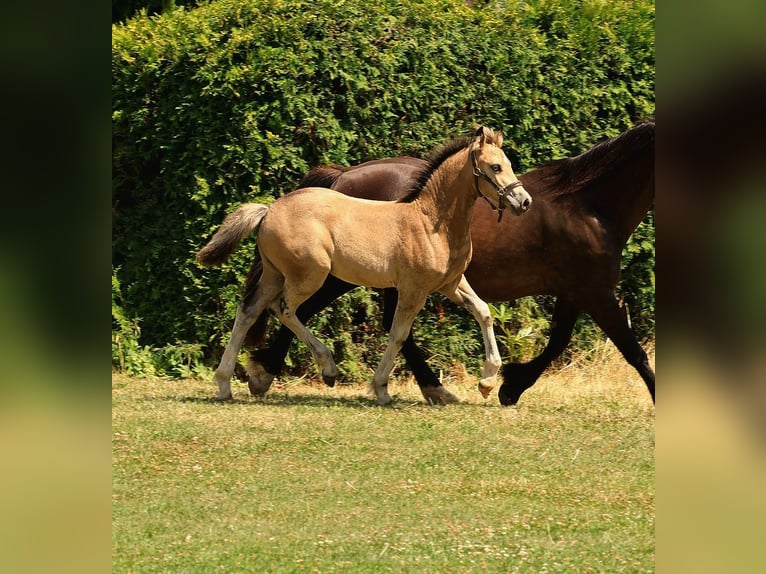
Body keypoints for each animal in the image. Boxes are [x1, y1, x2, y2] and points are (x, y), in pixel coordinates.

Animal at [197, 127, 532, 404]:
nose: (524, 201)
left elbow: (484, 312)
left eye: (508, 163)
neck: (430, 222)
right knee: (284, 309)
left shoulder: (451, 283)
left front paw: (487, 382)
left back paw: (225, 384)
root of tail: (268, 210)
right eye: (495, 167)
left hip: (275, 274)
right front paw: (381, 389)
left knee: (248, 311)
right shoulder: (413, 289)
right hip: (311, 275)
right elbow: (398, 334)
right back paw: (328, 368)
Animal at [242, 121, 655, 405]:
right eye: (496, 167)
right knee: (297, 308)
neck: (588, 206)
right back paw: (269, 372)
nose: (523, 203)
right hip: (337, 275)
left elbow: (557, 343)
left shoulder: (574, 293)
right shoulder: (593, 291)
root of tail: (341, 177)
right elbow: (630, 350)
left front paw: (508, 385)